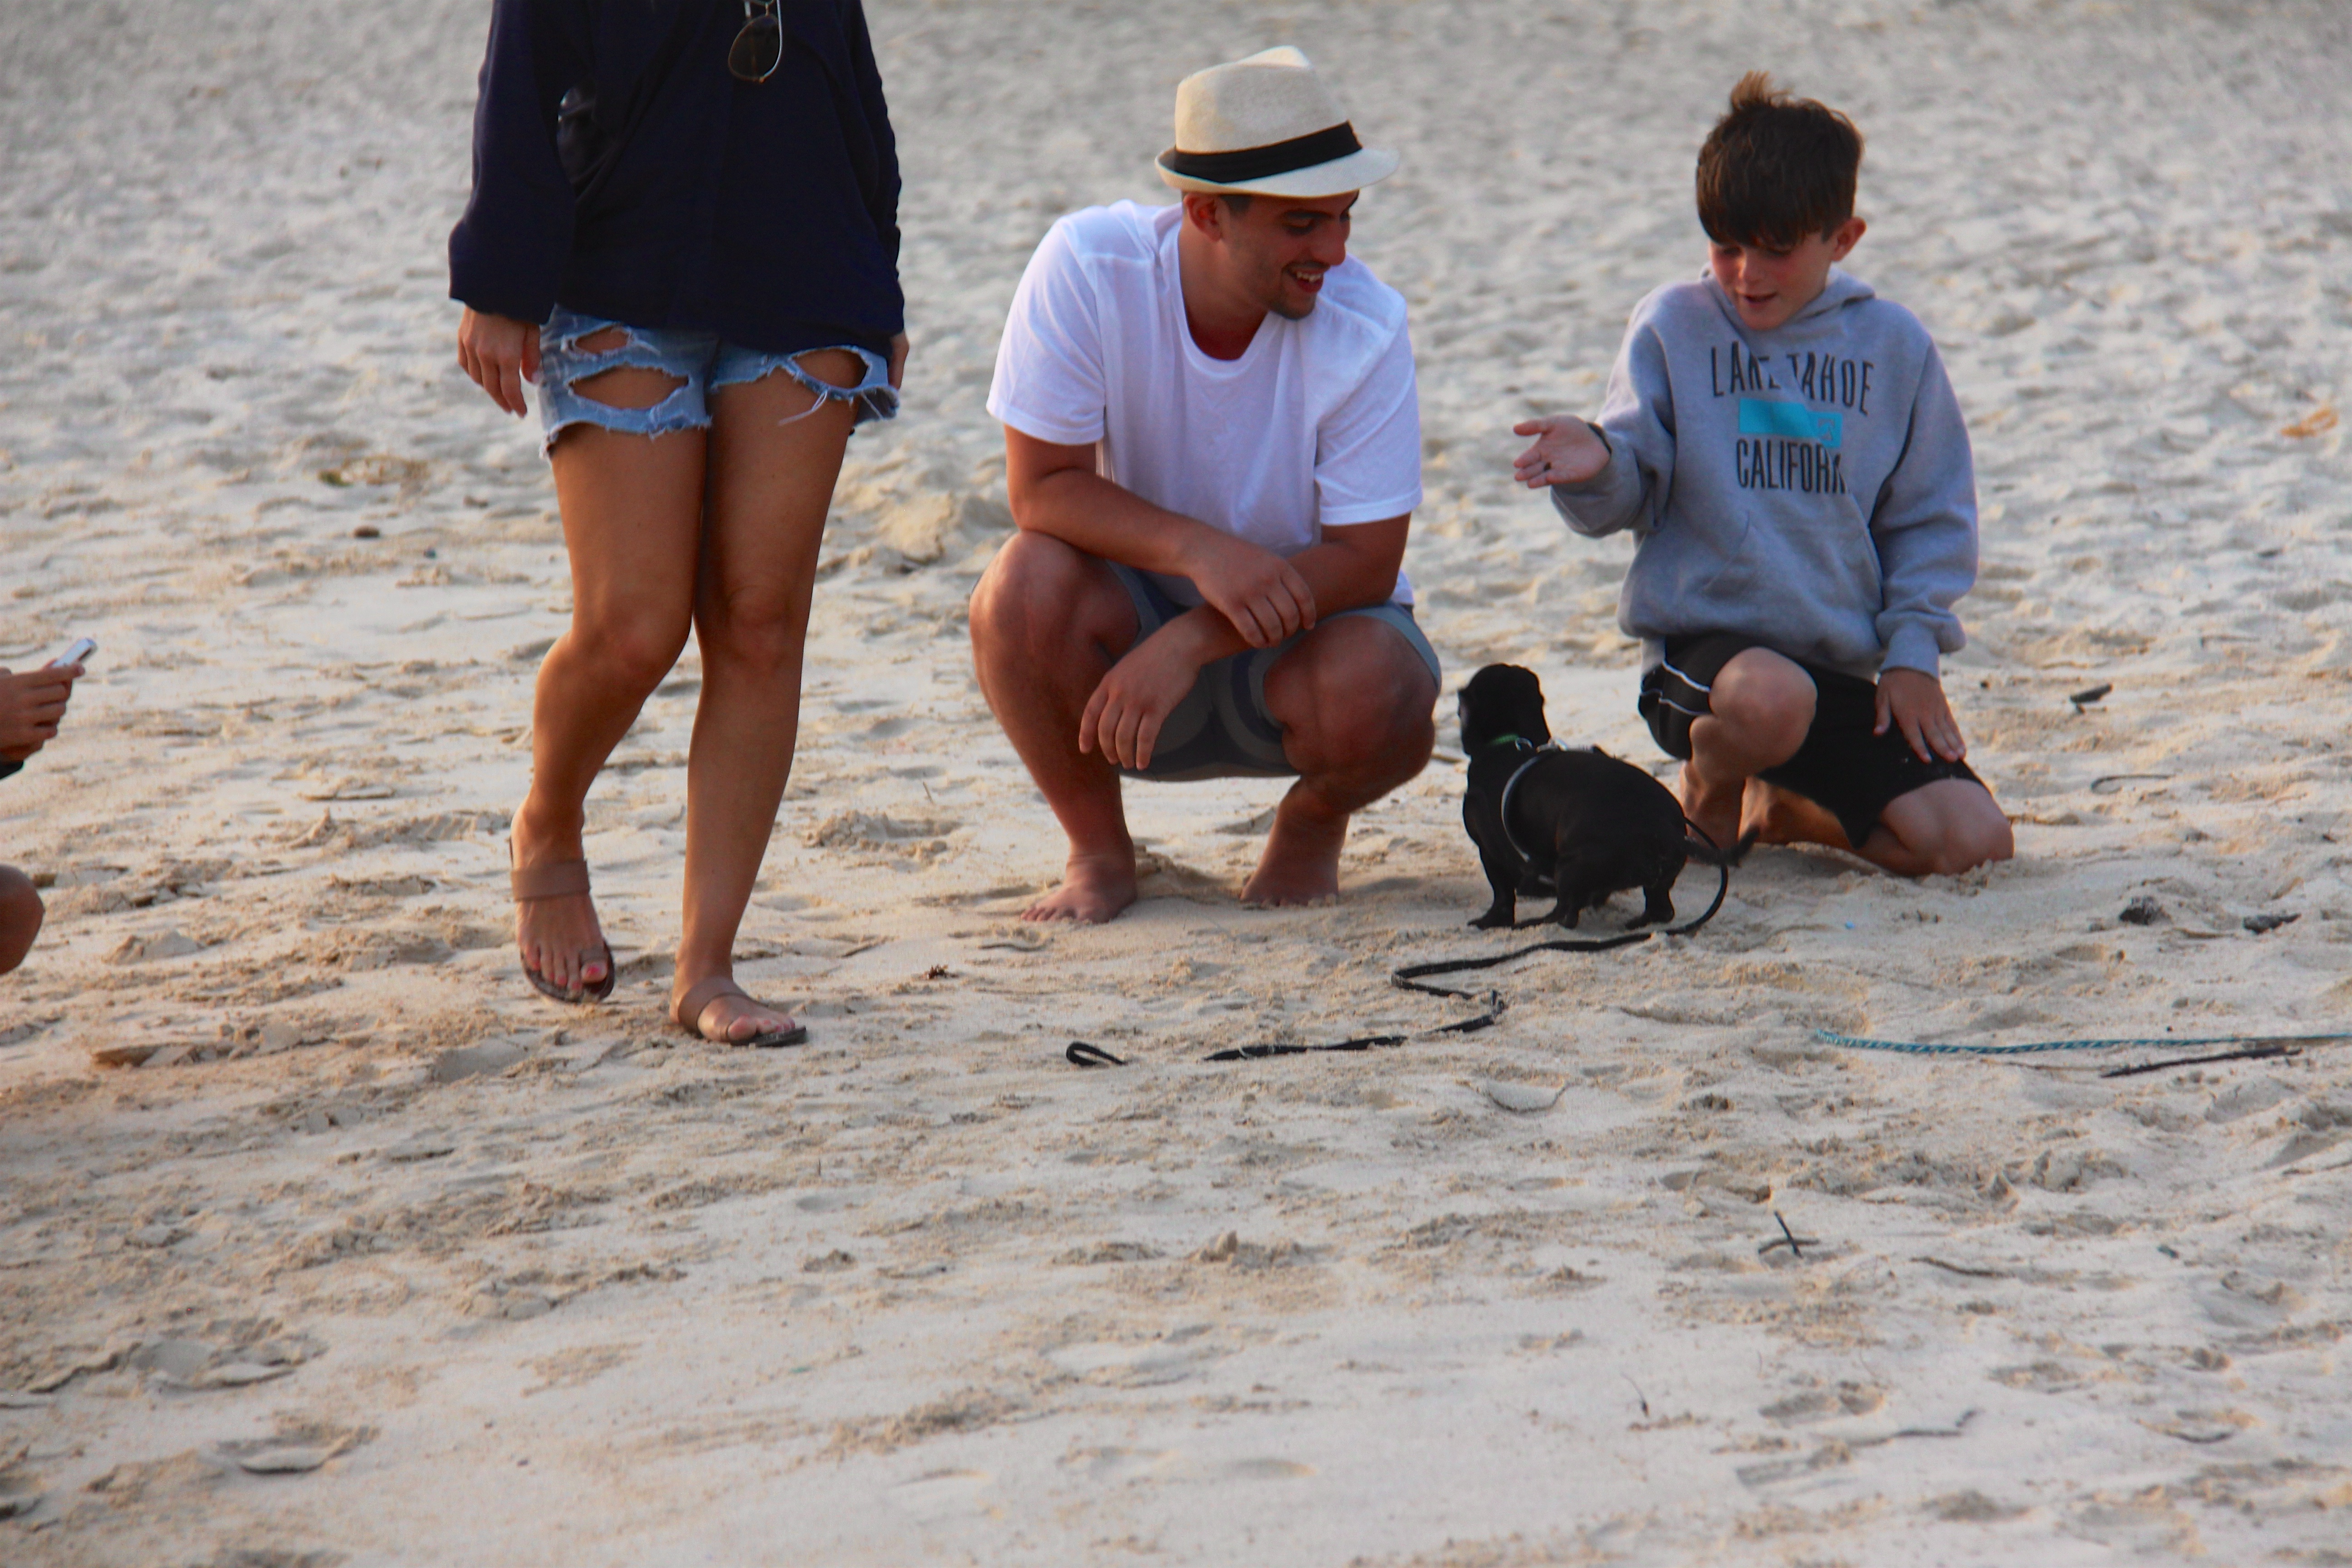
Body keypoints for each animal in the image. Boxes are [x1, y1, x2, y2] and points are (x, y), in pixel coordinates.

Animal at [1456, 663, 1748, 931]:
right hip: (1656, 878)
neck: (1511, 741)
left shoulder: (1490, 852)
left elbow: (1502, 895)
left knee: (1566, 914)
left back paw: (1537, 923)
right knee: (1661, 910)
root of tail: (1666, 830)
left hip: (1568, 868)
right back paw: (1635, 925)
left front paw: (1491, 922)